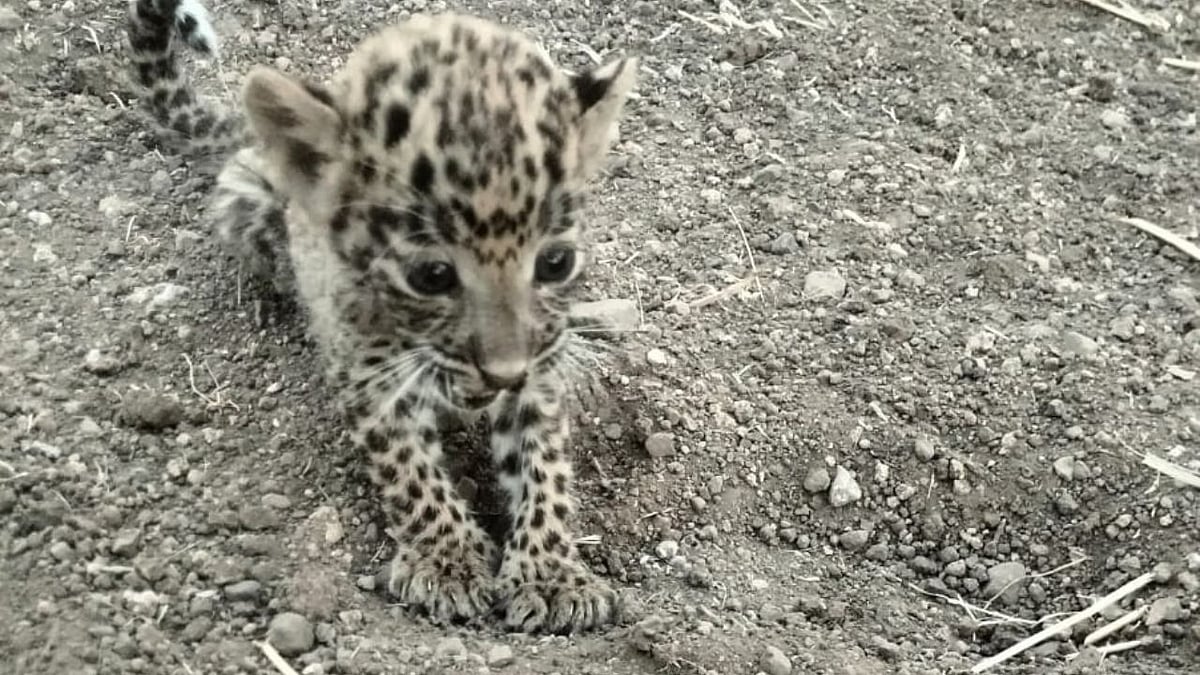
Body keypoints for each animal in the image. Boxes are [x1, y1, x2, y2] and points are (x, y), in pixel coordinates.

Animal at [126, 0, 637, 633]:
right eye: (432, 276)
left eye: (556, 262)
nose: (501, 373)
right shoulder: (369, 374)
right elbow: (409, 470)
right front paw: (447, 563)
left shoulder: (539, 368)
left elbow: (545, 466)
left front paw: (551, 574)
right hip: (246, 202)